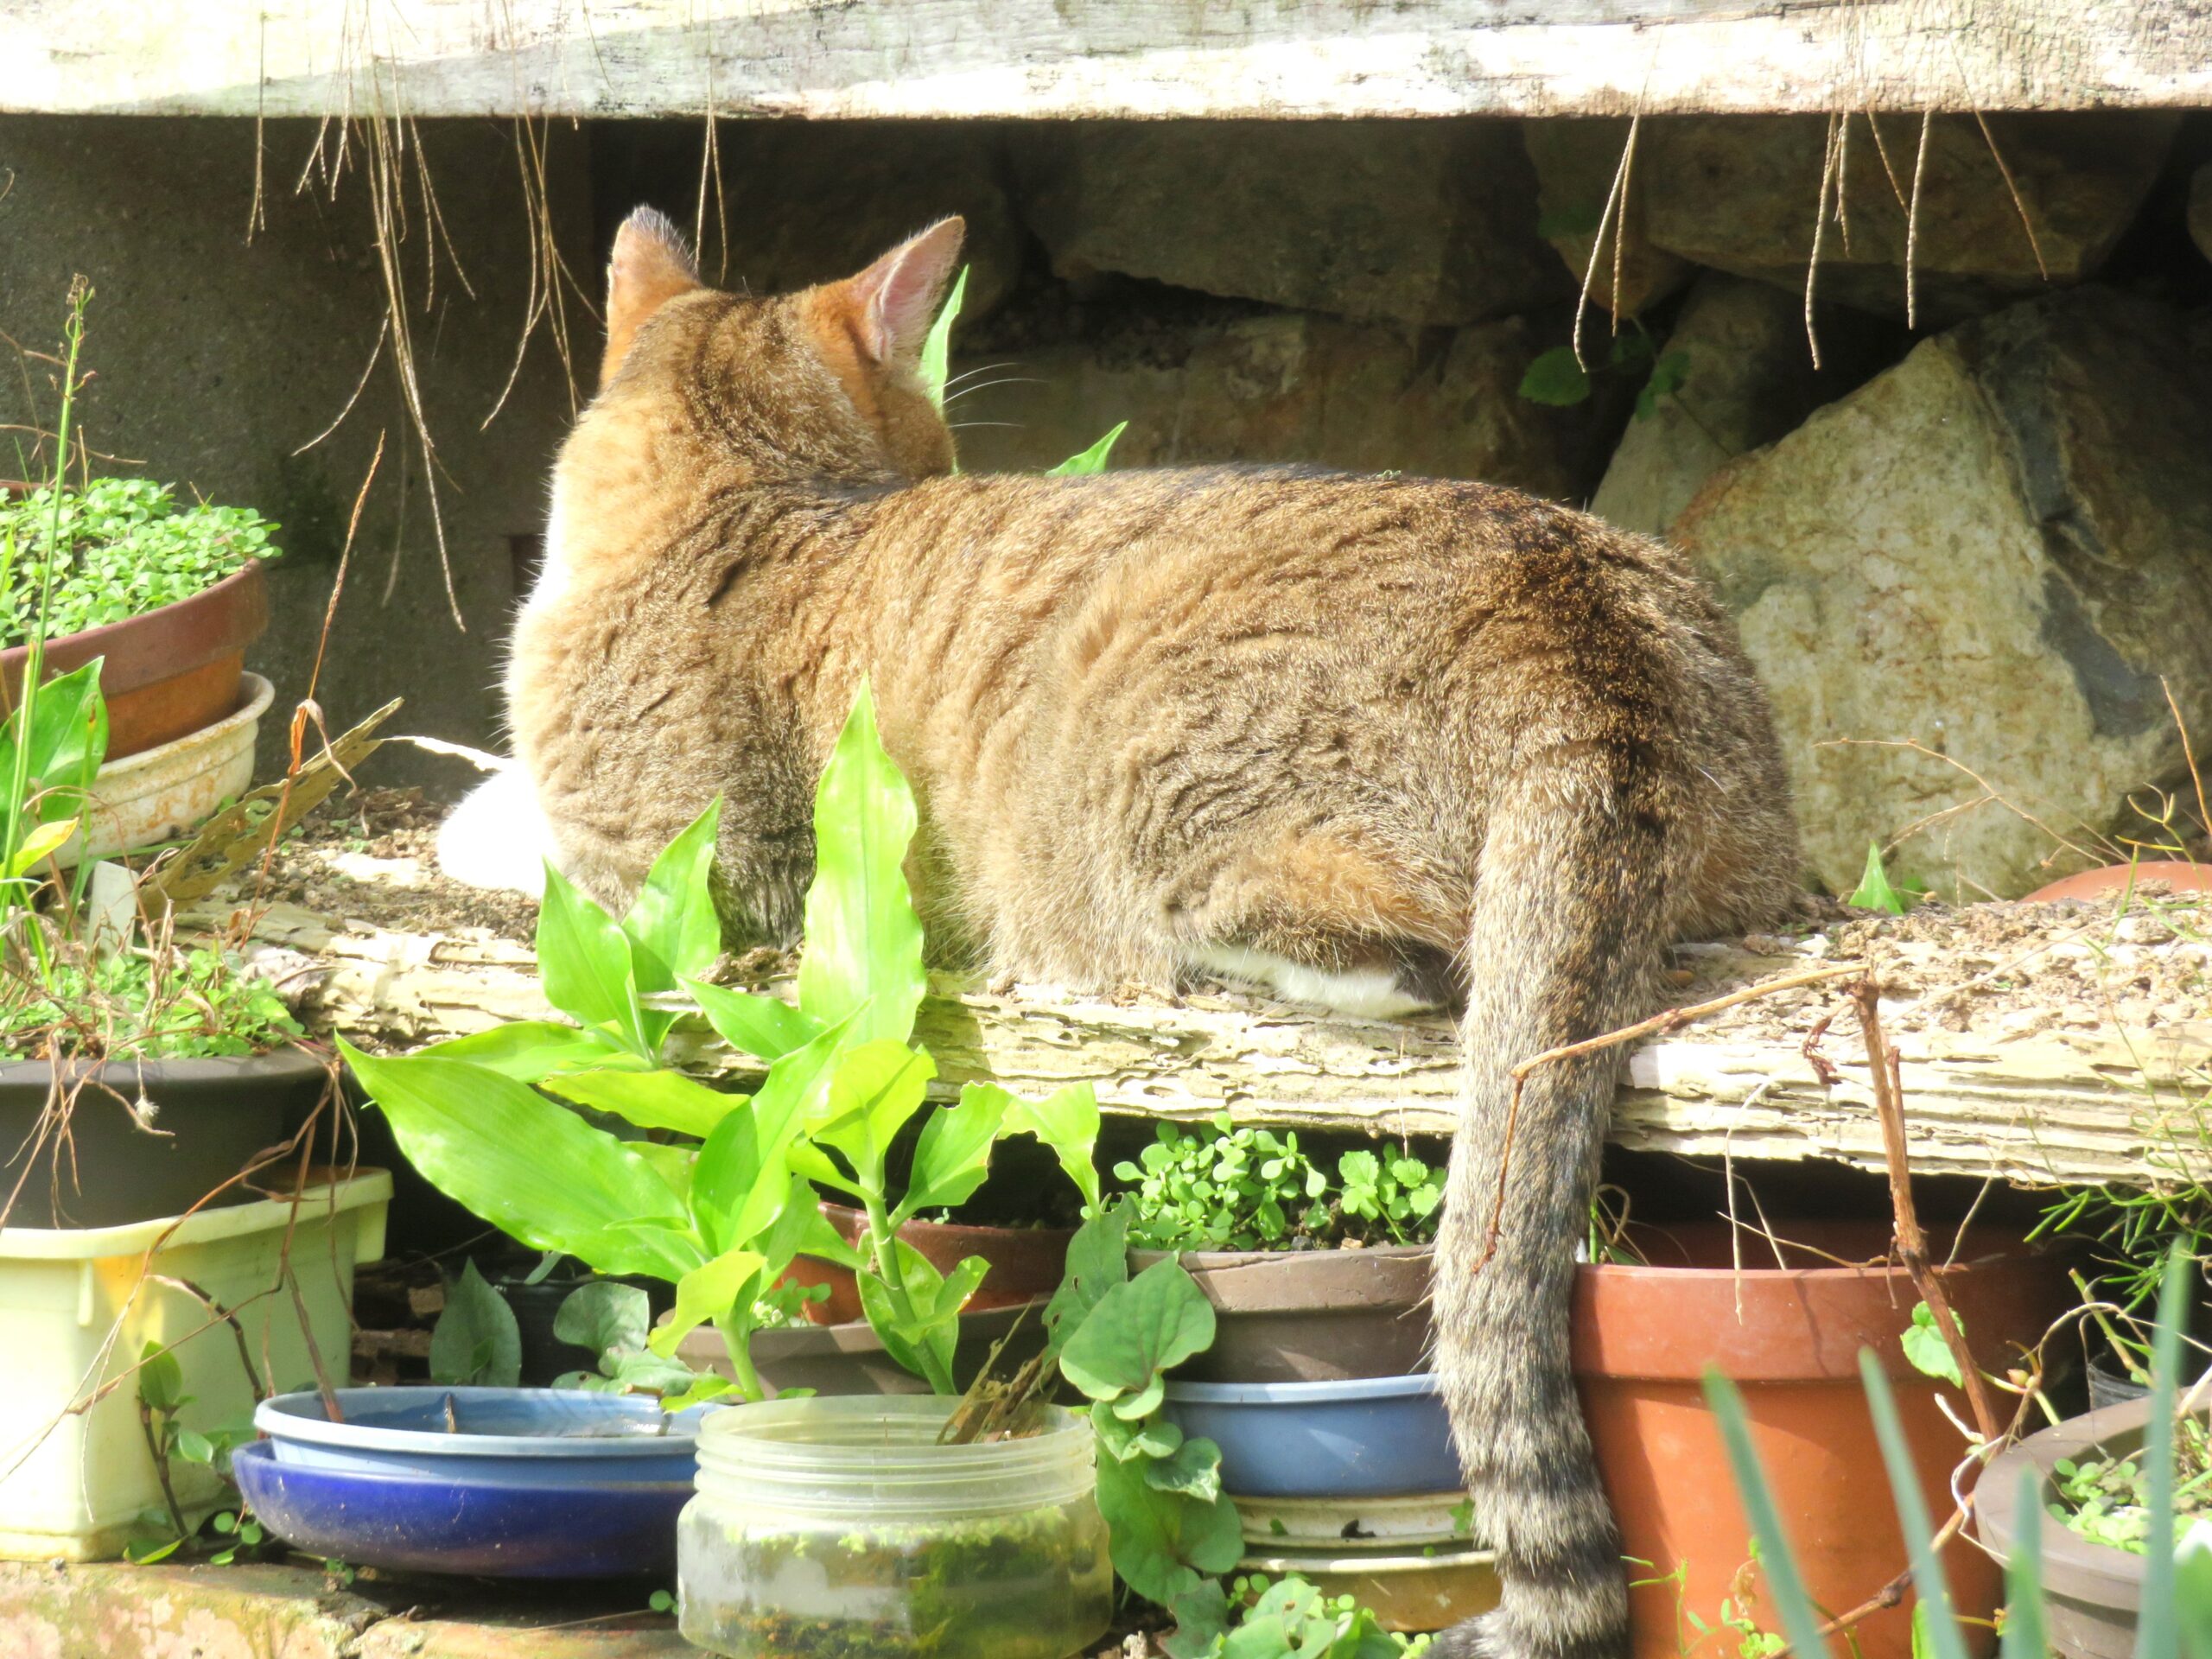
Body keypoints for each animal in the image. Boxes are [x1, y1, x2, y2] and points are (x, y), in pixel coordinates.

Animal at [508, 211, 1804, 1659]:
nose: (942, 466)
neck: (749, 495)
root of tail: (1575, 628)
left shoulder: (676, 888)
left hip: (1154, 794)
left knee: (1404, 951)